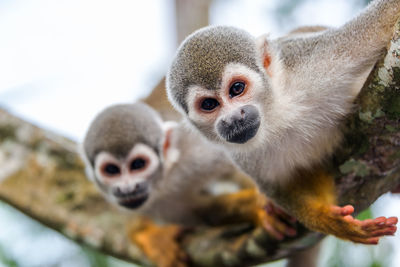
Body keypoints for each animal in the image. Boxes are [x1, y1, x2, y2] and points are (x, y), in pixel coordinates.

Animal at [166, 0, 400, 245]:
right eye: (209, 104)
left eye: (237, 88)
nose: (233, 119)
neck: (275, 115)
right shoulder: (242, 156)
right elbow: (280, 187)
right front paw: (327, 219)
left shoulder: (315, 60)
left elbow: (379, 23)